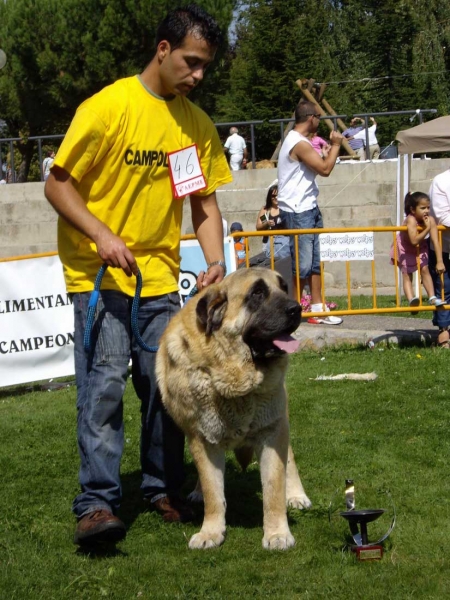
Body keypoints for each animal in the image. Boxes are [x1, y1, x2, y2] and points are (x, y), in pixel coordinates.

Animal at [156, 268, 312, 548]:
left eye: (284, 288)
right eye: (257, 293)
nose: (296, 308)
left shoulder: (272, 431)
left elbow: (274, 487)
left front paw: (277, 533)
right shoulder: (201, 438)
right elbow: (213, 492)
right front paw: (210, 532)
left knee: (290, 459)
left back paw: (296, 495)